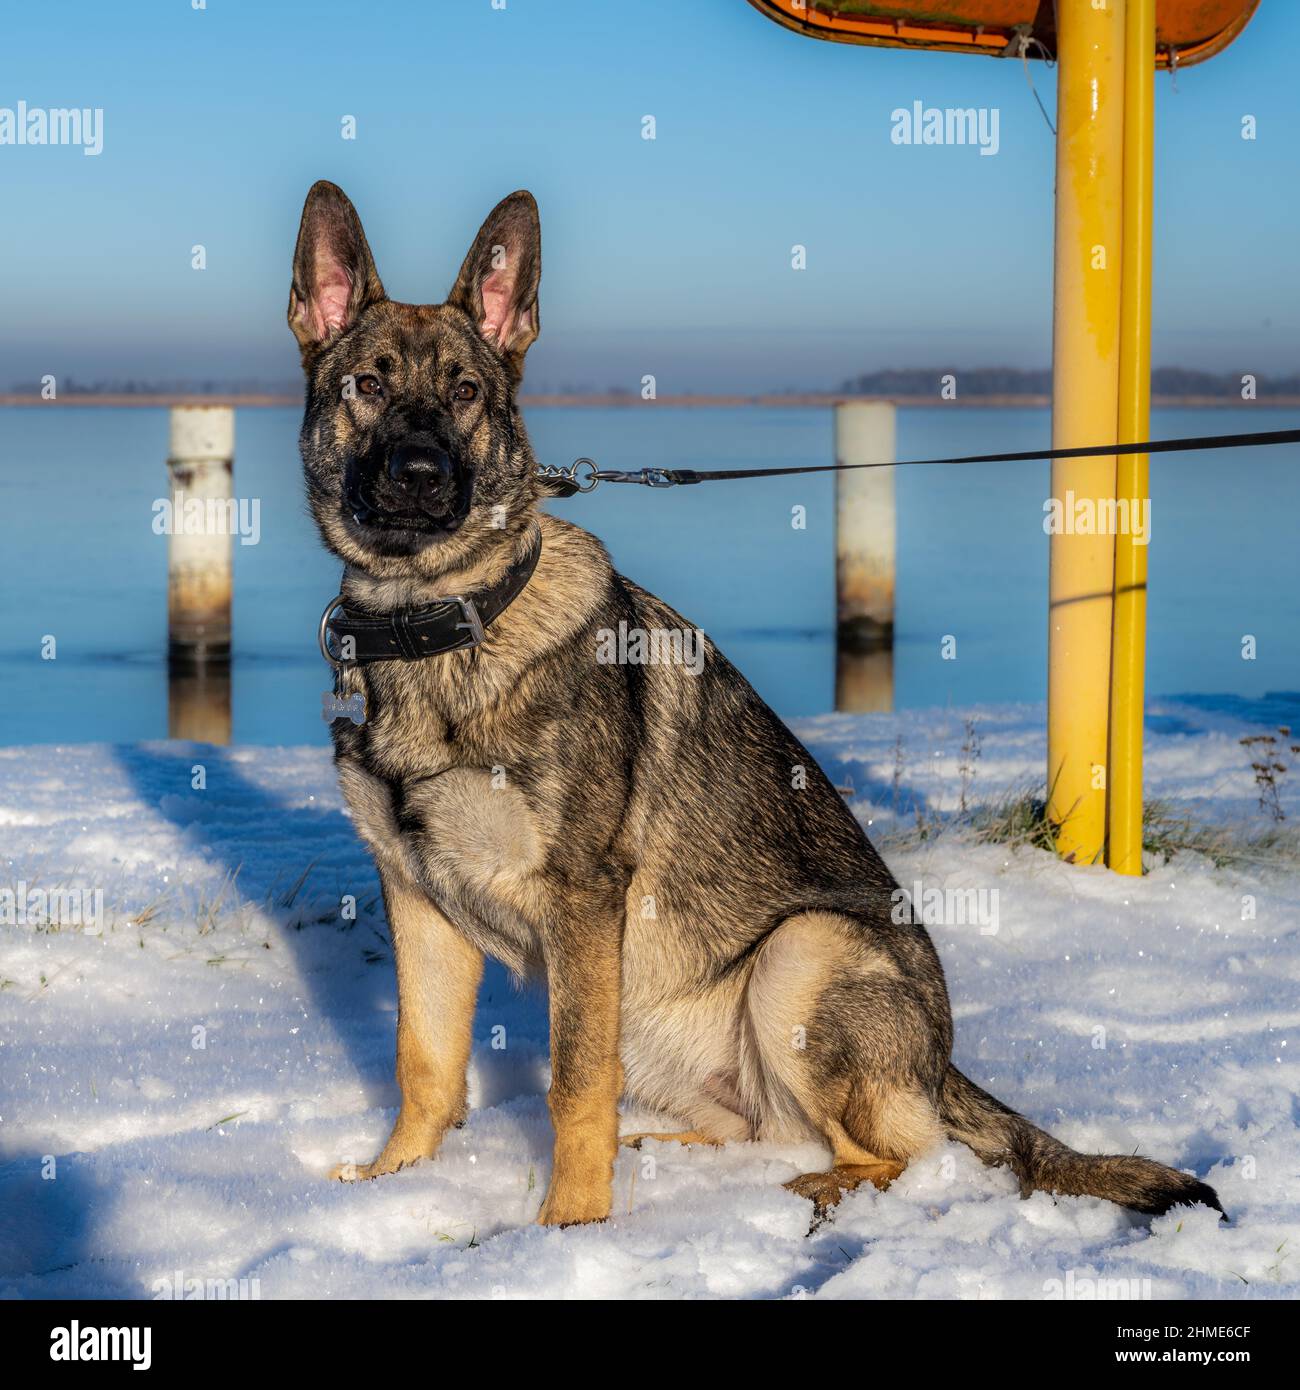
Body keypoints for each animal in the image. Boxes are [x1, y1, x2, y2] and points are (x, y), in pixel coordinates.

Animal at [289, 176, 1223, 1228]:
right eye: (367, 387)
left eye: (464, 394)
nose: (419, 476)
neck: (441, 622)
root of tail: (944, 1065)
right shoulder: (418, 901)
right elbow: (425, 1061)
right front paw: (398, 1181)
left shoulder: (582, 901)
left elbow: (574, 1080)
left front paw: (568, 1227)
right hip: (663, 1014)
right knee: (754, 1122)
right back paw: (665, 1153)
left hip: (798, 953)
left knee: (900, 1151)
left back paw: (814, 1192)